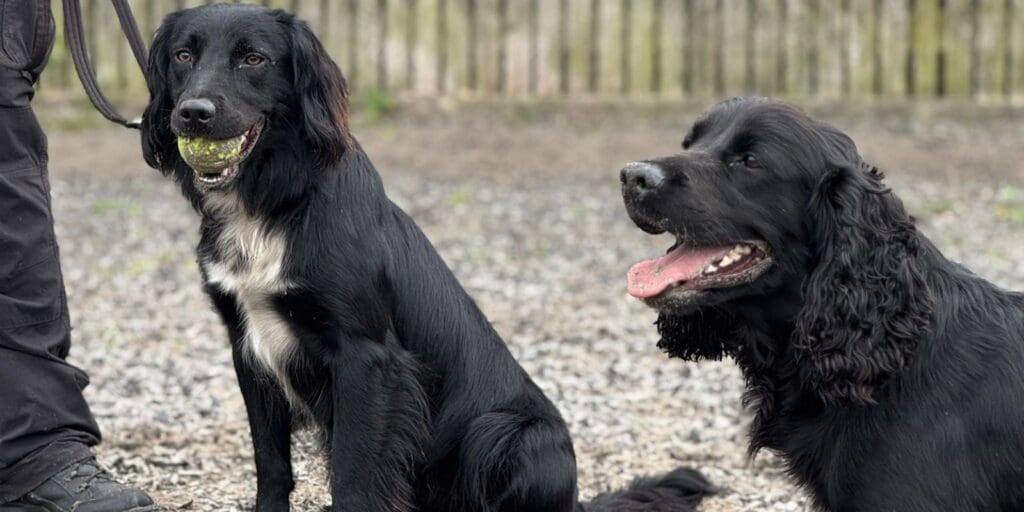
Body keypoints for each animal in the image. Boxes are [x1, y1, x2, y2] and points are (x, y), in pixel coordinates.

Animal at [141, 4, 712, 511]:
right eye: (184, 55)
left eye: (253, 59)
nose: (193, 113)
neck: (273, 204)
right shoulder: (249, 348)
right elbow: (272, 466)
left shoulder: (366, 357)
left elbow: (354, 478)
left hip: (511, 433)